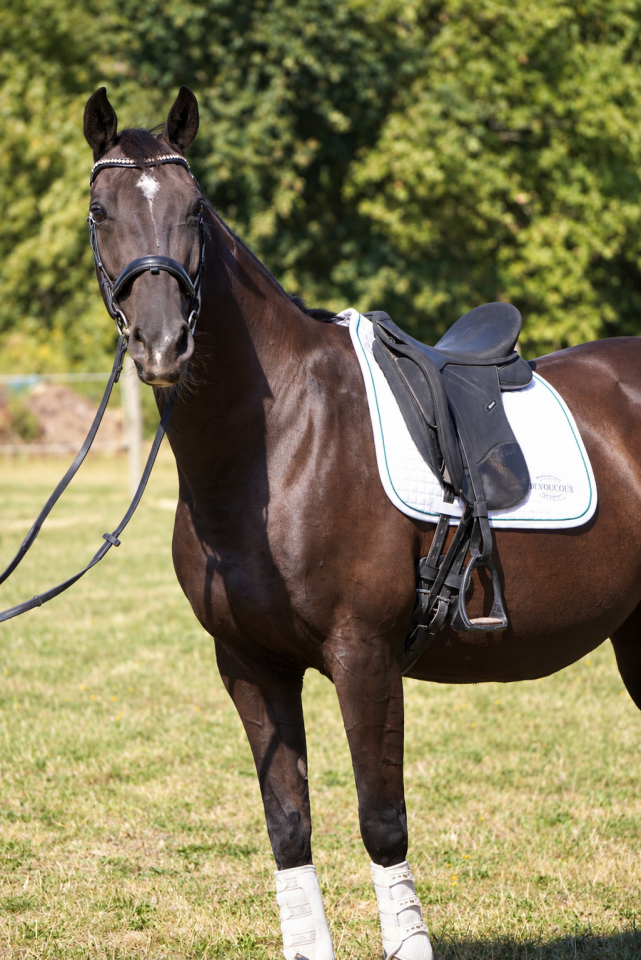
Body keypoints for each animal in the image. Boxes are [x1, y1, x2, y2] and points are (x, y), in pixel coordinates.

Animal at [83, 85, 641, 960]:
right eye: (101, 209)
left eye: (194, 208)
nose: (163, 344)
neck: (279, 444)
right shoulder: (249, 664)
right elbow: (287, 823)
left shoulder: (363, 655)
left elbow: (381, 823)